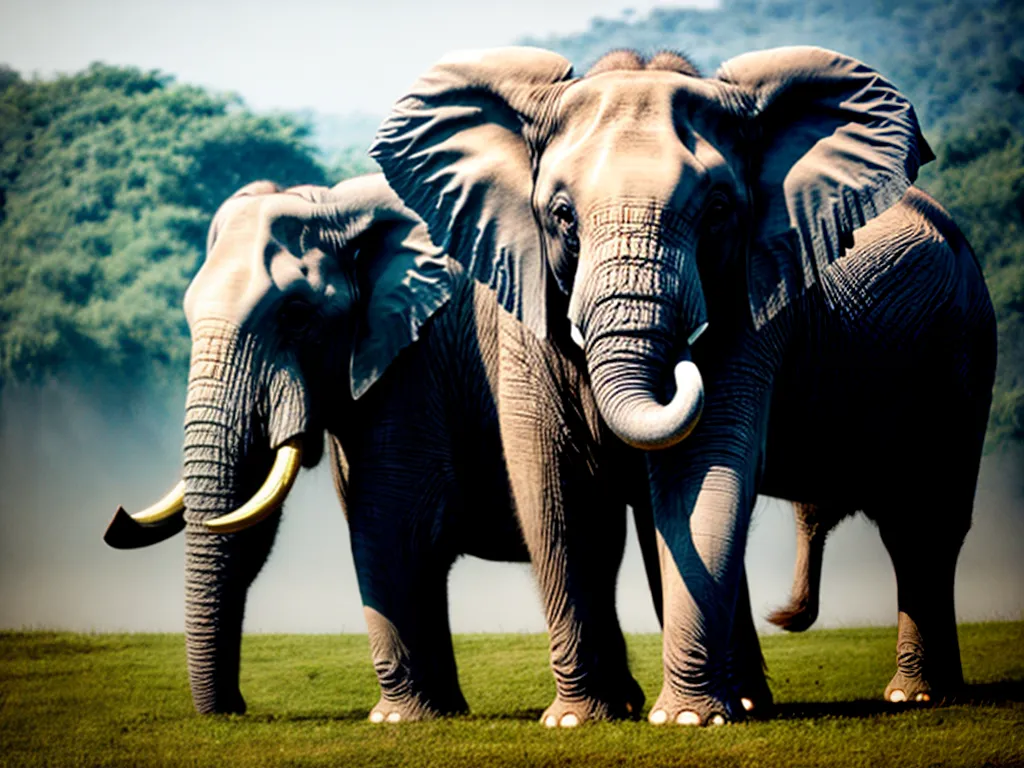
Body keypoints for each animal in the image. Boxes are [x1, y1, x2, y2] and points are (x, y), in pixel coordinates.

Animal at [103, 173, 652, 724]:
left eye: (296, 314)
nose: (234, 710)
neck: (334, 206)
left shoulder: (412, 362)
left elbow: (393, 521)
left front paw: (396, 719)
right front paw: (437, 714)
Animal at [370, 45, 997, 725]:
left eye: (719, 210)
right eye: (561, 215)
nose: (681, 362)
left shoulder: (751, 301)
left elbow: (697, 476)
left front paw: (689, 719)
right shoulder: (519, 301)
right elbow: (561, 491)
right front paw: (578, 719)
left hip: (965, 343)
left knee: (924, 521)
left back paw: (917, 694)